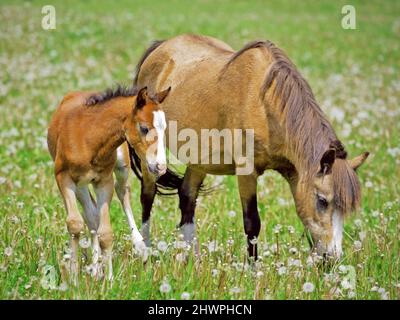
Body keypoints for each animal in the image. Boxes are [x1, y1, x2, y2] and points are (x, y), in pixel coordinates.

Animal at [47, 85, 170, 282]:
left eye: (164, 128)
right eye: (144, 128)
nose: (160, 167)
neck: (88, 137)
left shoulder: (104, 181)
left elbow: (106, 233)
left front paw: (110, 279)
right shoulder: (63, 177)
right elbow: (75, 223)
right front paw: (73, 278)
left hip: (121, 168)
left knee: (122, 193)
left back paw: (139, 247)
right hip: (80, 184)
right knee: (91, 214)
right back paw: (95, 268)